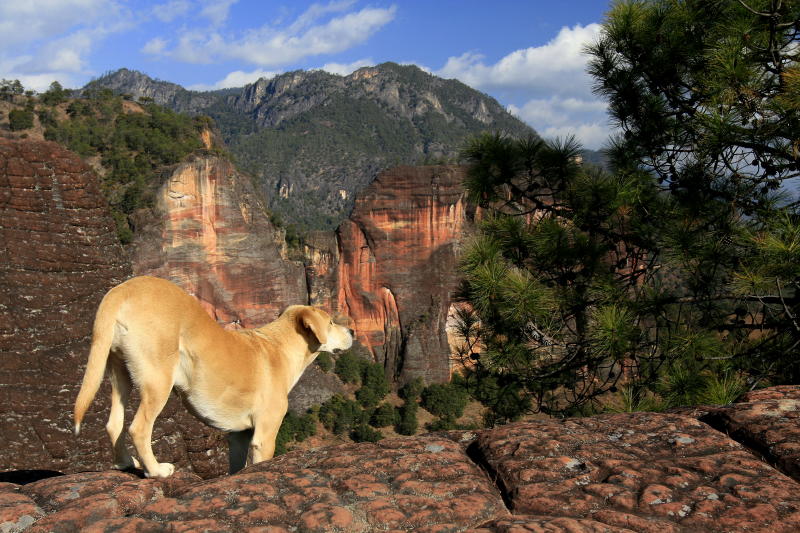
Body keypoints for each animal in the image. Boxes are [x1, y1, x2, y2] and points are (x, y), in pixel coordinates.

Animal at [73, 276, 352, 476]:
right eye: (330, 322)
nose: (351, 331)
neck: (279, 346)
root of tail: (122, 290)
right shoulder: (264, 435)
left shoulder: (239, 436)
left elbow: (236, 467)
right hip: (158, 380)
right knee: (138, 428)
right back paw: (157, 471)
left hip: (119, 372)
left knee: (114, 424)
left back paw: (124, 463)